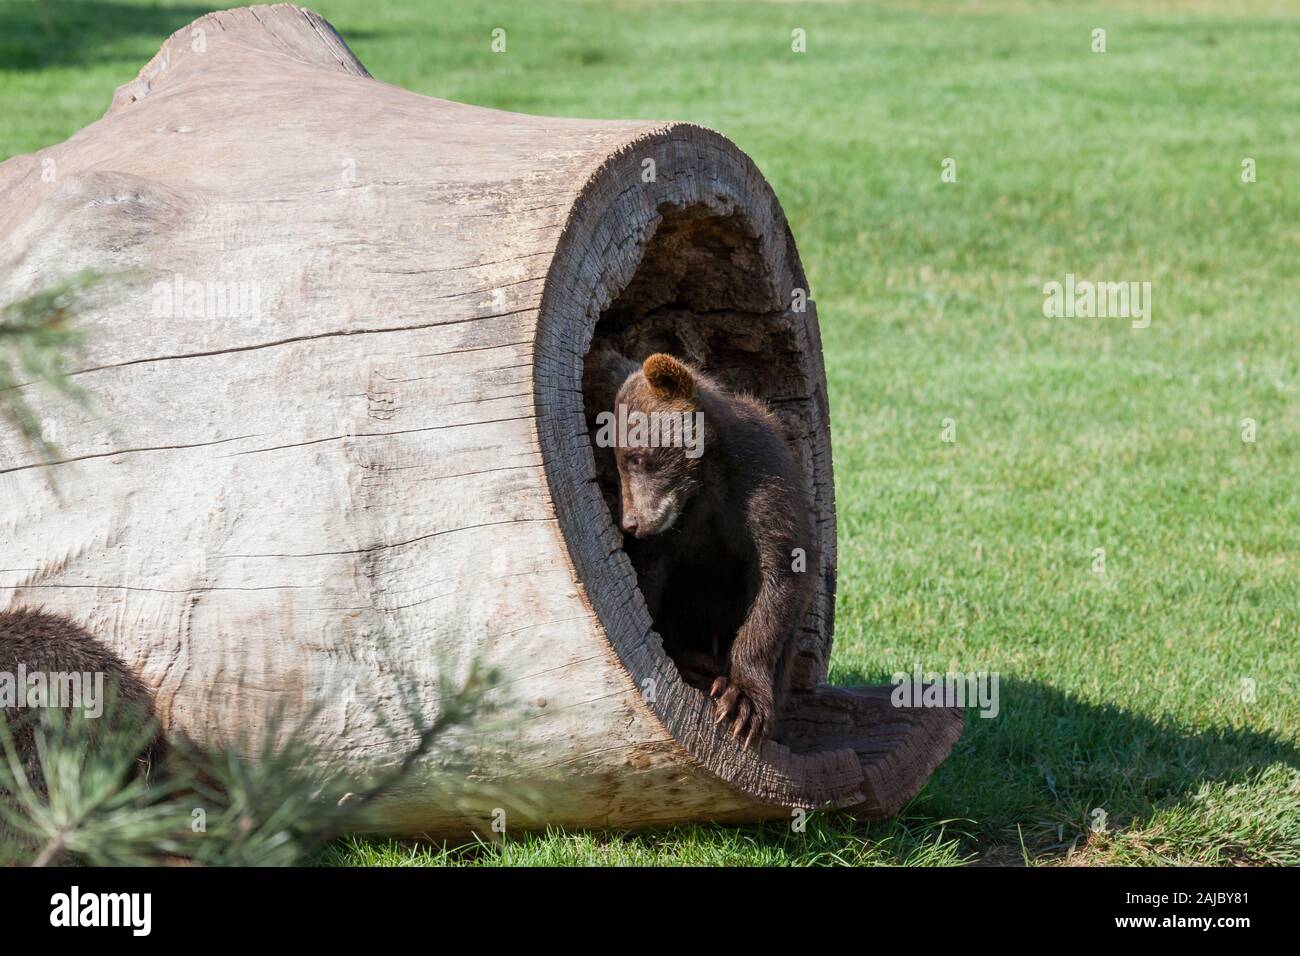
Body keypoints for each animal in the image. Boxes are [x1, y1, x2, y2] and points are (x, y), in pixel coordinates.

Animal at [594, 351, 816, 748]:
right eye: (616, 460)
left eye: (638, 457)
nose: (630, 523)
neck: (705, 483)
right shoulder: (673, 536)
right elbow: (649, 583)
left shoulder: (762, 486)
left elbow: (778, 578)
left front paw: (744, 702)